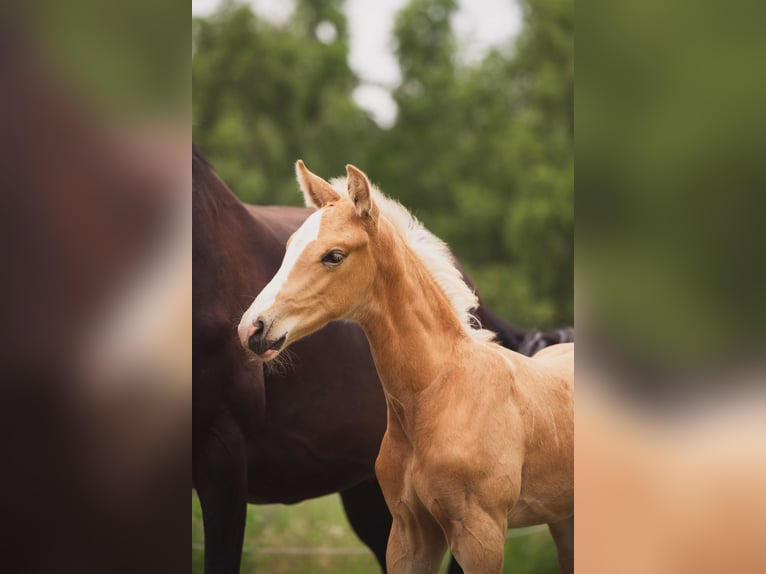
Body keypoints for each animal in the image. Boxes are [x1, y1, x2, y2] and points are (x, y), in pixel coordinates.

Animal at [193, 148, 573, 573]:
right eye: (288, 247)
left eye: (334, 255)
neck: (442, 392)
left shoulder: (481, 534)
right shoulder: (408, 532)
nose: (252, 328)